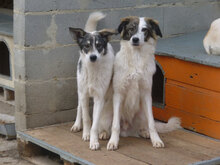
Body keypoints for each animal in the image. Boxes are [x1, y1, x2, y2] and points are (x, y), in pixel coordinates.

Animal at [69, 12, 116, 150]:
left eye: (99, 45)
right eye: (87, 46)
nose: (93, 57)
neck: (92, 70)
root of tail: (94, 31)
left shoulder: (99, 98)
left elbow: (95, 122)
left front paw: (94, 141)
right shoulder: (84, 95)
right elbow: (86, 118)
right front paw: (86, 134)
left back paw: (104, 133)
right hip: (80, 89)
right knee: (79, 107)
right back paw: (77, 124)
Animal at [106, 16, 180, 151]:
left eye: (144, 30)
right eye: (131, 28)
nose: (135, 39)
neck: (136, 57)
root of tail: (127, 130)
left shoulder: (146, 95)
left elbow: (152, 123)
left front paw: (156, 140)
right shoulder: (119, 94)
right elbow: (115, 125)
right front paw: (113, 142)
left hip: (142, 113)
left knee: (143, 126)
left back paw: (144, 132)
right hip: (108, 112)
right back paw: (103, 133)